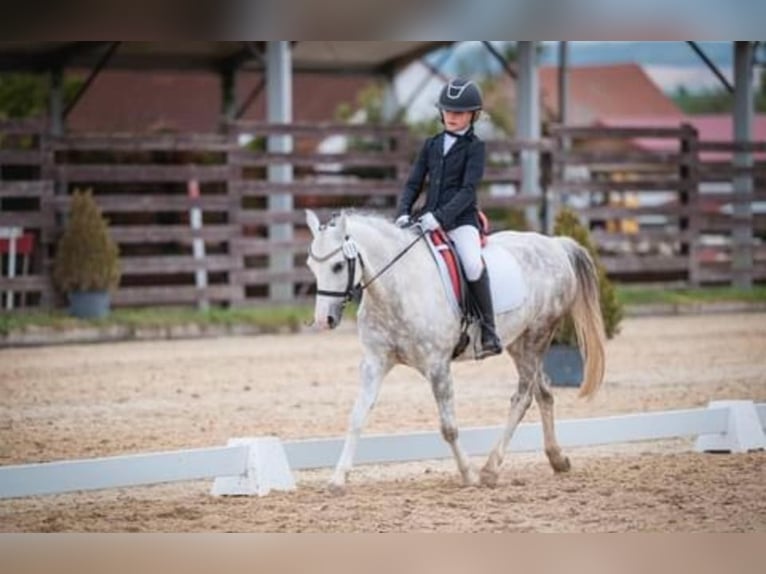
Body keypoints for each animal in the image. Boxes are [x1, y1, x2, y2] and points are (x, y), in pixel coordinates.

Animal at [306, 212, 608, 496]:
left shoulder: (438, 365)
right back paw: (557, 459)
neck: (397, 286)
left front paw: (469, 475)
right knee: (543, 390)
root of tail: (556, 245)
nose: (323, 321)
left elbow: (449, 428)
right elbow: (357, 417)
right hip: (519, 343)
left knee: (523, 397)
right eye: (311, 265)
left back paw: (490, 469)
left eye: (337, 265)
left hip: (537, 335)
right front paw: (337, 479)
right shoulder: (374, 362)